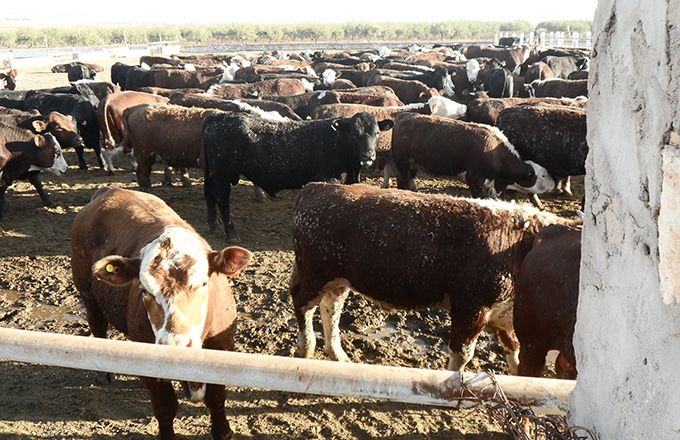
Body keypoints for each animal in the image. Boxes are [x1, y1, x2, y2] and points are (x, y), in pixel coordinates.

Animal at [71, 187, 252, 440]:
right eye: (144, 290)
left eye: (203, 284)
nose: (176, 346)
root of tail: (109, 190)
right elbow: (165, 407)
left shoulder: (222, 347)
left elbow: (216, 398)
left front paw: (223, 431)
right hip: (87, 292)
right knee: (97, 324)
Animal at [202, 111, 394, 239]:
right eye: (354, 134)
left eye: (377, 133)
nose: (368, 155)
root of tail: (218, 117)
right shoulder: (327, 179)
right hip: (222, 174)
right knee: (223, 201)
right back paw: (231, 233)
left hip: (212, 174)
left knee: (209, 194)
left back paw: (213, 223)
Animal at [290, 181, 576, 372]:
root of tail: (317, 188)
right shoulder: (471, 308)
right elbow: (462, 355)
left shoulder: (503, 316)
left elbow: (514, 353)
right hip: (314, 275)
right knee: (302, 303)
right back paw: (307, 348)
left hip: (339, 280)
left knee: (331, 308)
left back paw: (338, 355)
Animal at [390, 112, 556, 197]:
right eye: (543, 174)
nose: (554, 184)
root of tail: (404, 115)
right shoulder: (475, 178)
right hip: (402, 161)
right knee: (403, 180)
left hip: (413, 163)